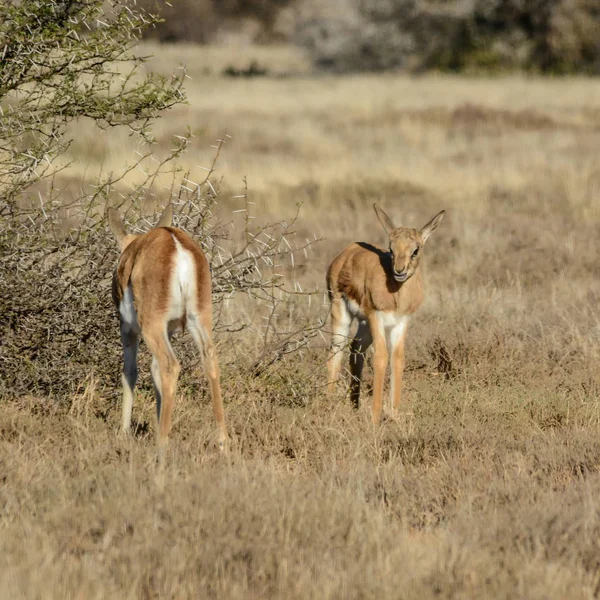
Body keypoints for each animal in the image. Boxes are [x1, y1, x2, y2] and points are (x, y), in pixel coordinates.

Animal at [106, 204, 226, 452]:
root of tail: (175, 245)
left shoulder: (129, 330)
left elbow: (130, 372)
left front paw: (123, 434)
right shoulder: (168, 329)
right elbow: (153, 370)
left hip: (151, 327)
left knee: (170, 365)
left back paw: (161, 445)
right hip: (198, 320)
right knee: (210, 360)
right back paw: (223, 444)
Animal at [326, 204, 442, 424]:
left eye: (415, 250)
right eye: (391, 249)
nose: (399, 271)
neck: (396, 294)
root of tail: (345, 253)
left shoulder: (401, 322)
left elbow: (397, 359)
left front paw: (395, 414)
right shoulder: (376, 317)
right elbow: (381, 357)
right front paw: (375, 416)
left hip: (364, 324)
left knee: (356, 348)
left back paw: (355, 406)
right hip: (342, 317)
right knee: (336, 351)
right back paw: (327, 405)